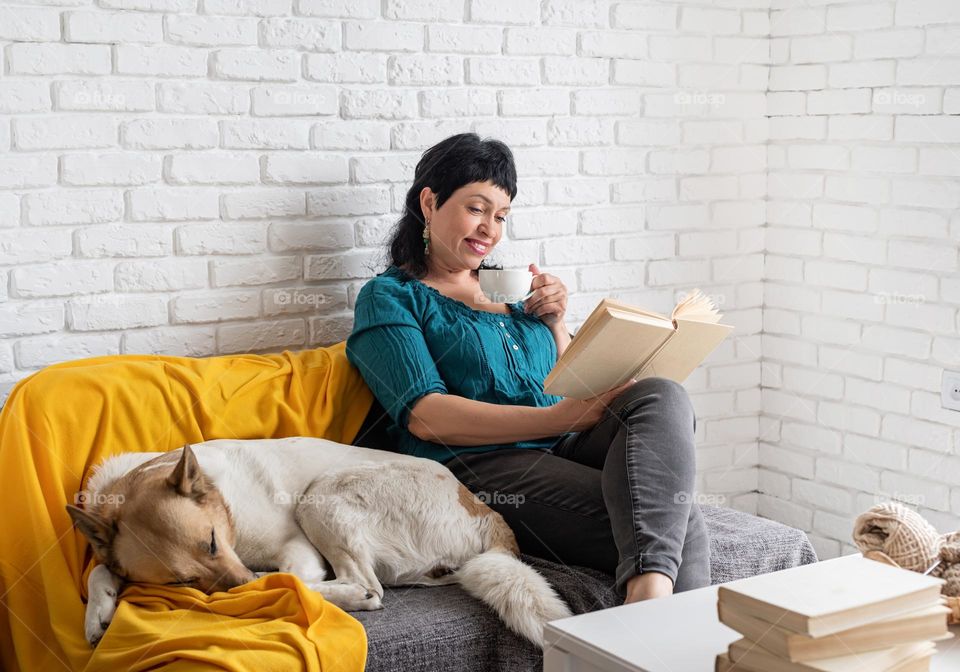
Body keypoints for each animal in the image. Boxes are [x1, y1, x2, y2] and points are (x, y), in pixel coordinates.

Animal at [69, 438, 576, 648]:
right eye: (180, 582)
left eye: (212, 542)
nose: (237, 586)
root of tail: (484, 512)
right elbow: (100, 568)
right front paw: (99, 611)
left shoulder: (295, 544)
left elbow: (291, 578)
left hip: (322, 496)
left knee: (368, 586)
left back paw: (350, 594)